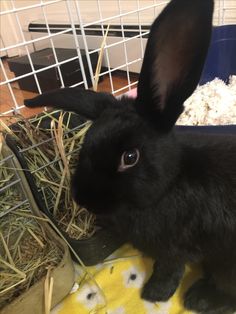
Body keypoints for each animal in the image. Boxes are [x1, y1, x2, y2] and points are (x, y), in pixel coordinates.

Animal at [24, 0, 236, 312]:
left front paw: (153, 294)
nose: (83, 199)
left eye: (130, 157)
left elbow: (168, 271)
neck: (168, 186)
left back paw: (199, 298)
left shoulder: (175, 250)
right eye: (85, 144)